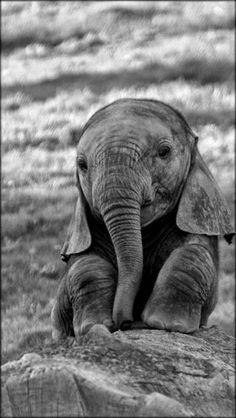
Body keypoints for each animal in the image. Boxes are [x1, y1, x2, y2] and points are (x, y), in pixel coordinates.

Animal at [50, 99, 233, 342]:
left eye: (164, 152)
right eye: (82, 165)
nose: (126, 323)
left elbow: (193, 255)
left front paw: (164, 323)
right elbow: (84, 266)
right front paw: (93, 327)